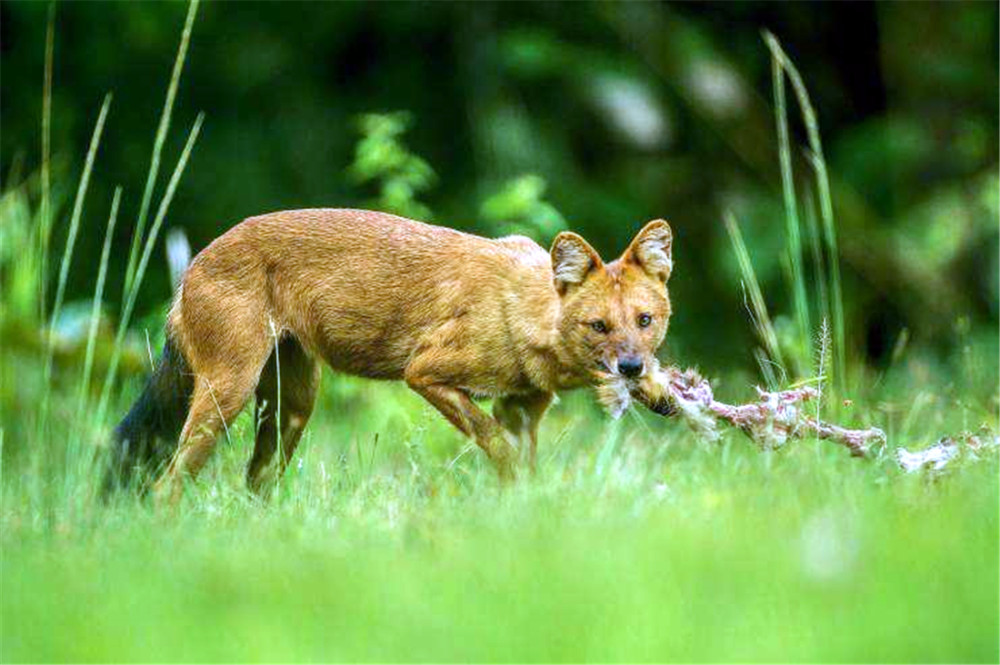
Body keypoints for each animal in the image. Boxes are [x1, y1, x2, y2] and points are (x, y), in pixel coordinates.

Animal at [105, 208, 672, 498]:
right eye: (598, 326)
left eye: (645, 321)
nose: (632, 368)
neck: (522, 309)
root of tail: (192, 267)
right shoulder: (426, 373)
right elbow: (497, 445)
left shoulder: (523, 406)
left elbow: (522, 466)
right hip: (228, 393)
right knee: (166, 485)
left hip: (294, 403)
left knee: (256, 481)